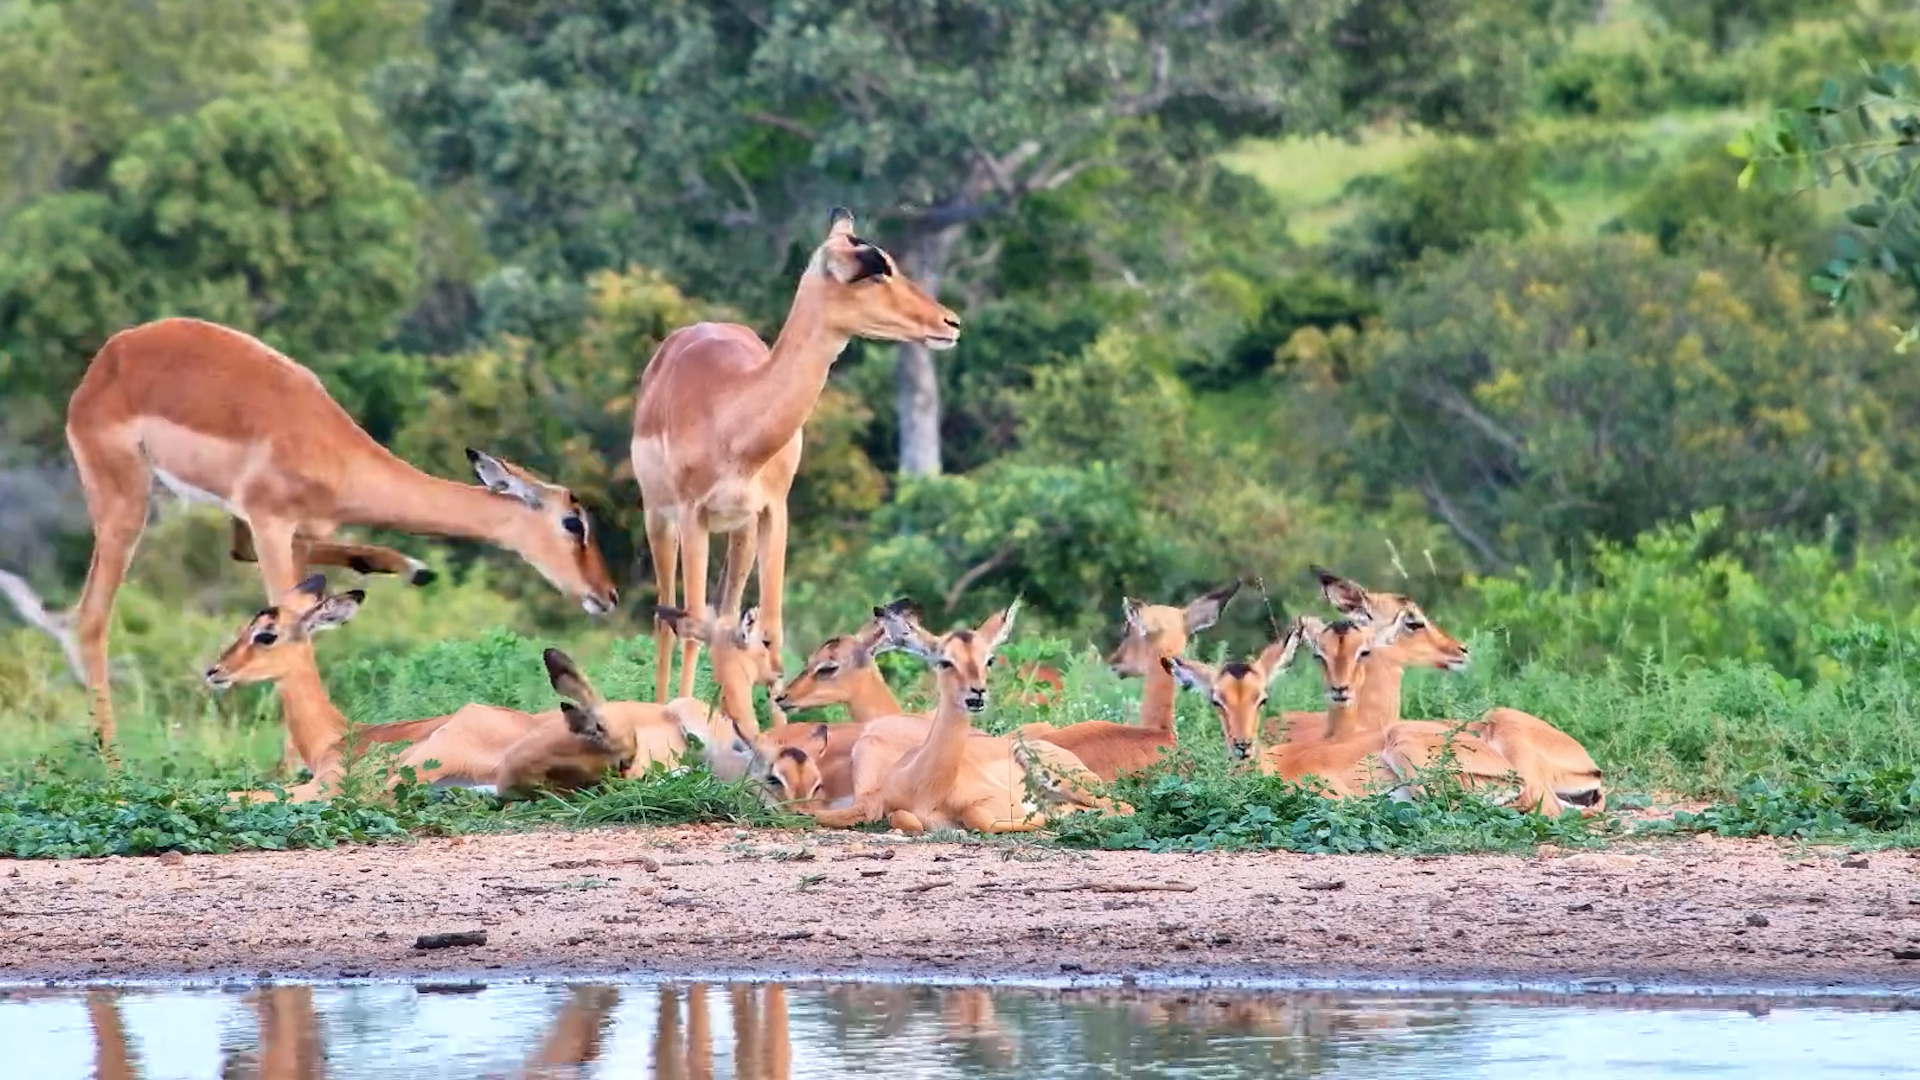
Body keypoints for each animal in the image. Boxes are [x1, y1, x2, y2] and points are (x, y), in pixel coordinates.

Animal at [65, 316, 619, 747]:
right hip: (125, 503)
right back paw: (113, 770)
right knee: (90, 618)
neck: (332, 449)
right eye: (573, 522)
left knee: (235, 554)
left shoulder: (299, 533)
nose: (607, 595)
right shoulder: (272, 524)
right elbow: (290, 627)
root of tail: (108, 357)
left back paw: (409, 567)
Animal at [634, 208, 961, 717]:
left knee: (726, 619)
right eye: (875, 271)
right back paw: (666, 706)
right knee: (667, 619)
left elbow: (770, 628)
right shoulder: (692, 516)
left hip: (741, 531)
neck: (734, 418)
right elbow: (688, 622)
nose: (950, 322)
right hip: (660, 521)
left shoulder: (773, 510)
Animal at [809, 600, 1113, 833]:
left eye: (988, 659)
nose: (976, 693)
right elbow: (905, 818)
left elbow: (977, 816)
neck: (925, 787)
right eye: (945, 660)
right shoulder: (894, 808)